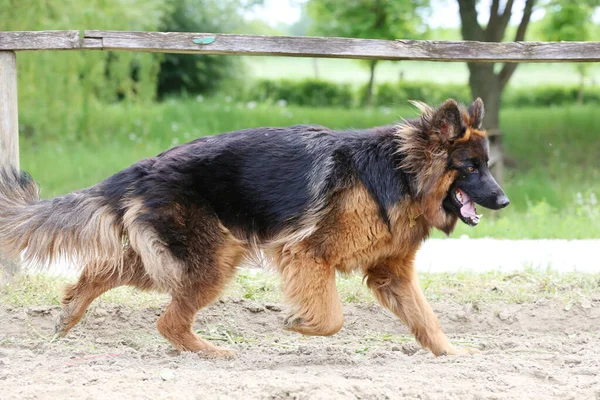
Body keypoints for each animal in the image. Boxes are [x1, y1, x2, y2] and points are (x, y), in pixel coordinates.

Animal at [0, 98, 508, 358]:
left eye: (487, 165)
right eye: (471, 168)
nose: (503, 200)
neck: (401, 172)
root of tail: (143, 167)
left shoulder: (391, 273)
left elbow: (426, 319)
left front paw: (452, 354)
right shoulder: (307, 255)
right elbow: (332, 318)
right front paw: (299, 325)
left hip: (176, 258)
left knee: (100, 274)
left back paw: (69, 314)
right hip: (213, 260)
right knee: (167, 320)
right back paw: (210, 352)